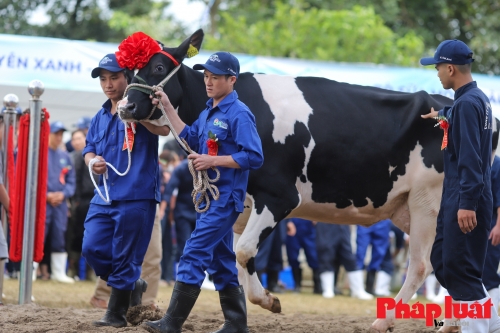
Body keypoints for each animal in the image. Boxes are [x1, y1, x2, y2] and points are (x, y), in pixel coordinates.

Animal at [120, 29, 496, 330]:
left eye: (158, 68)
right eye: (129, 70)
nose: (124, 107)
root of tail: (449, 105)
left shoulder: (279, 196)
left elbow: (244, 251)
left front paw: (268, 300)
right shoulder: (243, 205)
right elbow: (235, 261)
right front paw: (261, 301)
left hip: (427, 202)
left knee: (421, 265)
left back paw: (386, 320)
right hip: (410, 208)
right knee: (445, 264)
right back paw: (450, 322)